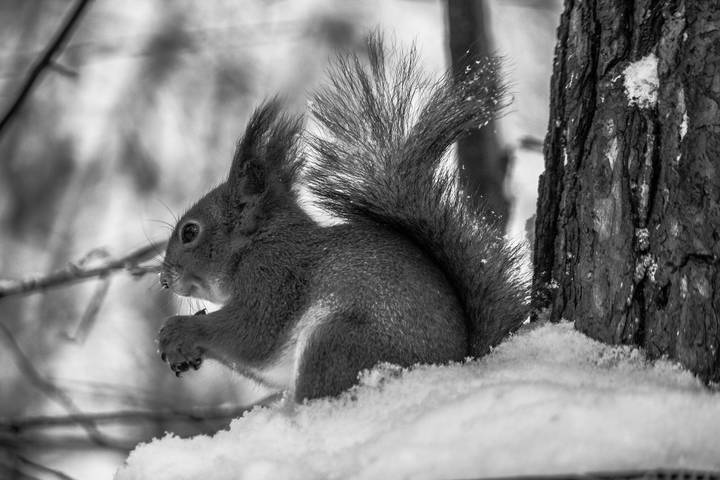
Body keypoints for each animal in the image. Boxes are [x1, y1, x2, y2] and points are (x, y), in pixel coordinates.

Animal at [157, 34, 529, 402]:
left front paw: (180, 329)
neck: (259, 243)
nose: (164, 280)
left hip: (336, 342)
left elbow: (253, 334)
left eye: (190, 232)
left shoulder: (274, 278)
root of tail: (454, 362)